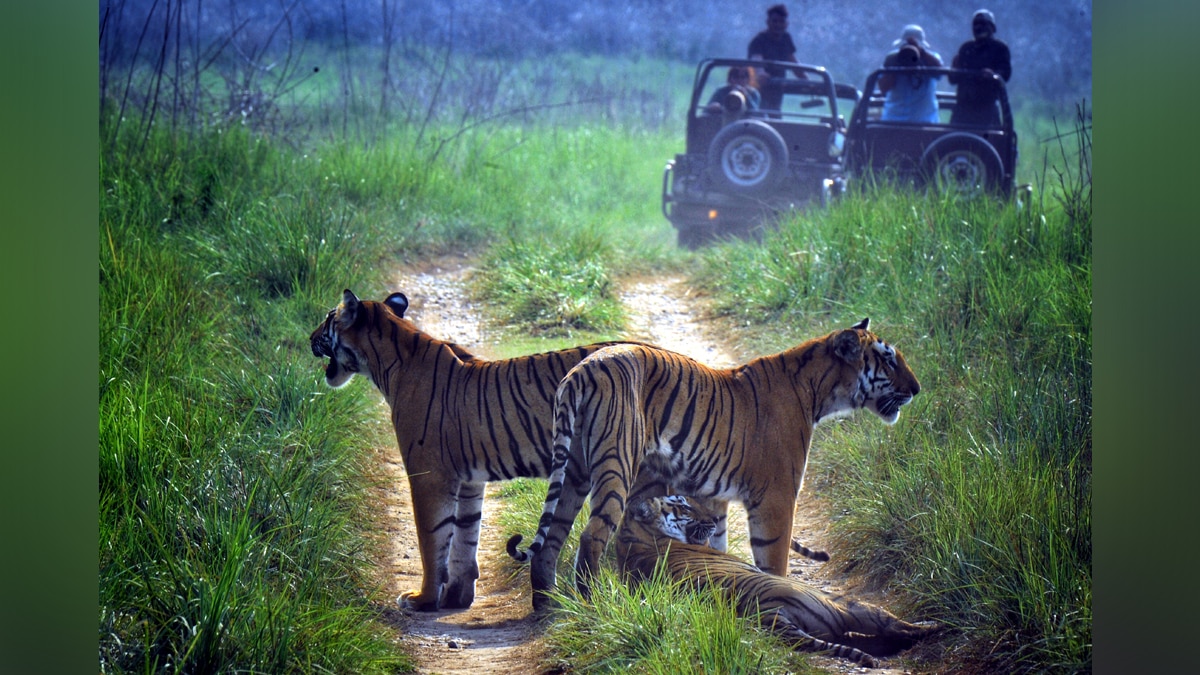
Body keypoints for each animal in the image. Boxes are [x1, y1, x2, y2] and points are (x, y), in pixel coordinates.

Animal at [310, 288, 651, 611]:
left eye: (328, 319)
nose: (309, 338)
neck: (386, 363)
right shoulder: (470, 479)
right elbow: (465, 535)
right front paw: (456, 597)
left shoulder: (429, 475)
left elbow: (432, 538)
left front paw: (423, 599)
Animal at [506, 318, 919, 610]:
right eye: (888, 359)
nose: (916, 389)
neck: (818, 393)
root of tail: (581, 370)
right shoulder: (776, 499)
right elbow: (774, 562)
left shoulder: (715, 498)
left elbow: (717, 550)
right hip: (616, 463)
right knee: (591, 537)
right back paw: (595, 605)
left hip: (573, 469)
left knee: (551, 539)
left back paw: (549, 605)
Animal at [615, 494, 942, 669]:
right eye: (682, 506)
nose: (714, 519)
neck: (634, 537)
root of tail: (769, 615)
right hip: (841, 603)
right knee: (895, 626)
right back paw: (934, 627)